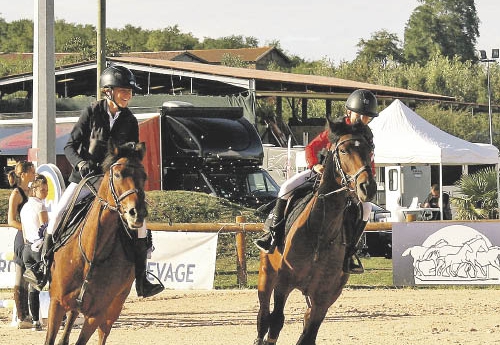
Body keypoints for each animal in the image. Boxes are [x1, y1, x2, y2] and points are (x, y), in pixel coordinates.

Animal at [44, 140, 148, 344]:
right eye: (118, 174)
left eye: (145, 177)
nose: (138, 213)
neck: (93, 252)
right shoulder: (56, 303)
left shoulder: (96, 314)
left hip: (114, 306)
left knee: (103, 334)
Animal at [256, 119, 376, 342]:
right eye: (343, 150)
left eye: (370, 150)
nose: (368, 188)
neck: (321, 231)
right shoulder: (283, 283)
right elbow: (276, 322)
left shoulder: (324, 296)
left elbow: (309, 334)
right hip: (267, 275)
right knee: (263, 316)